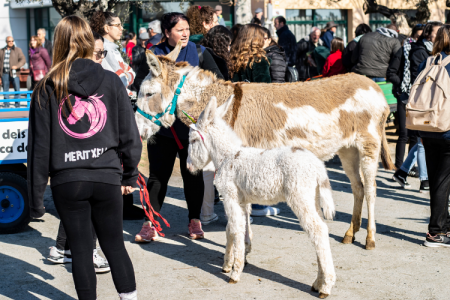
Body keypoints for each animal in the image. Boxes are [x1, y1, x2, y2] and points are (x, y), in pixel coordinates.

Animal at [186, 96, 338, 298]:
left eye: (193, 140)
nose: (188, 167)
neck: (228, 156)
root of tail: (319, 167)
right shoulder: (240, 201)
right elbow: (232, 229)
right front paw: (228, 263)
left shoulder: (230, 196)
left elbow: (236, 230)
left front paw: (235, 272)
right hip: (312, 198)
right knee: (321, 230)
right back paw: (317, 283)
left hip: (300, 197)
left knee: (318, 231)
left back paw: (326, 287)